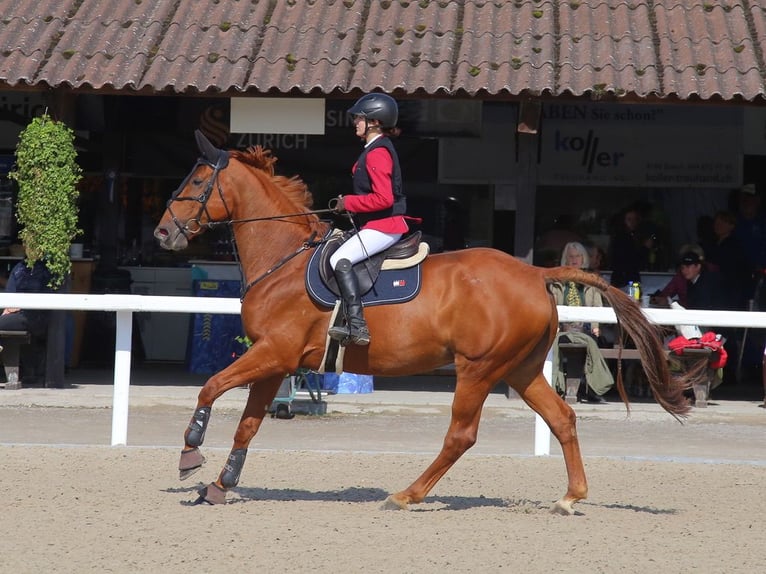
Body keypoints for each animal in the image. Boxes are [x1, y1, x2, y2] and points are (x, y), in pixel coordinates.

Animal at [154, 130, 691, 514]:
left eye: (196, 183)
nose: (162, 234)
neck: (283, 258)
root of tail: (535, 272)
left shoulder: (273, 352)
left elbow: (209, 387)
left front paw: (190, 455)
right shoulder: (275, 360)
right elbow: (247, 425)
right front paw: (220, 485)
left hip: (478, 368)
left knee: (461, 435)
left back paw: (406, 495)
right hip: (520, 368)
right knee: (562, 419)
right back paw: (570, 497)